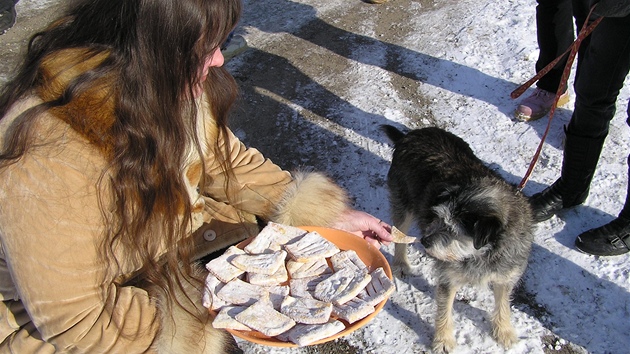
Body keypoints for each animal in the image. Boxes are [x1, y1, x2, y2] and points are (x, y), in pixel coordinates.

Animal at [382, 126, 536, 352]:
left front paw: (504, 331)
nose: (425, 242)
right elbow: (444, 311)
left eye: (454, 230)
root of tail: (409, 135)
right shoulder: (449, 278)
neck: (484, 254)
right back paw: (401, 262)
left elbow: (503, 304)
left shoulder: (505, 276)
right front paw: (443, 340)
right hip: (404, 204)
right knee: (399, 232)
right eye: (438, 217)